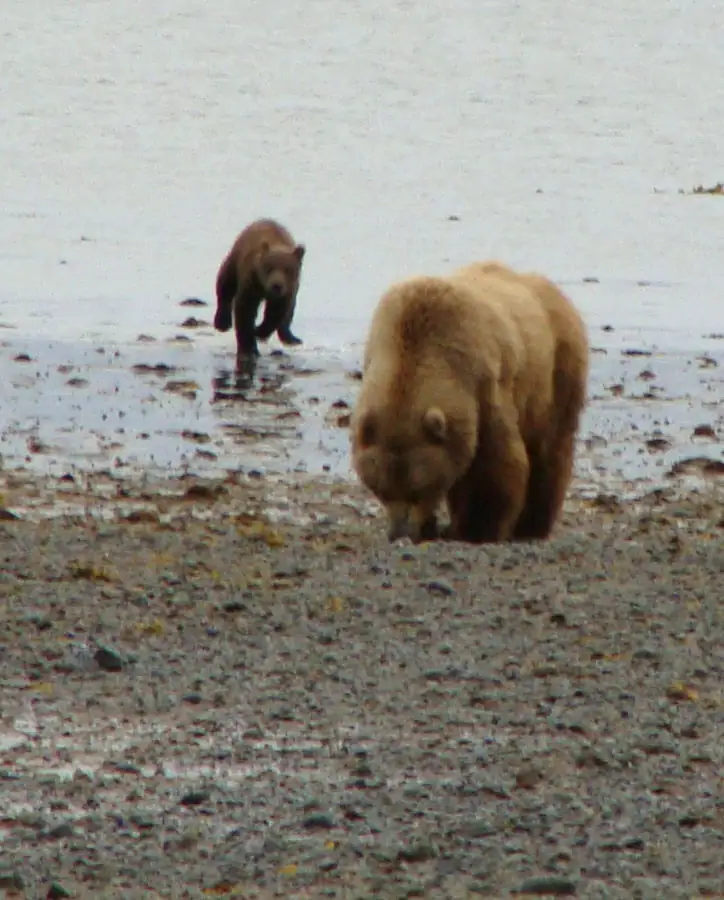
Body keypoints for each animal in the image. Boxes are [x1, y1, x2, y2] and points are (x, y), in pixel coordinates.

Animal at [213, 218, 306, 362]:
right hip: (235, 258)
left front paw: (259, 331)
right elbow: (245, 309)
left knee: (289, 313)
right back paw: (222, 322)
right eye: (269, 267)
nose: (276, 285)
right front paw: (248, 348)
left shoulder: (288, 291)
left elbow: (276, 311)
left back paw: (291, 338)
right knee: (225, 284)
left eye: (288, 269)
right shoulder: (251, 281)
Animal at [350, 260, 589, 545]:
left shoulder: (482, 387)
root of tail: (558, 294)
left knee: (550, 448)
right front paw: (441, 527)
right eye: (382, 490)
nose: (401, 533)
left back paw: (532, 526)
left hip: (557, 370)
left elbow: (497, 464)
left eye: (419, 489)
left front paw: (480, 529)